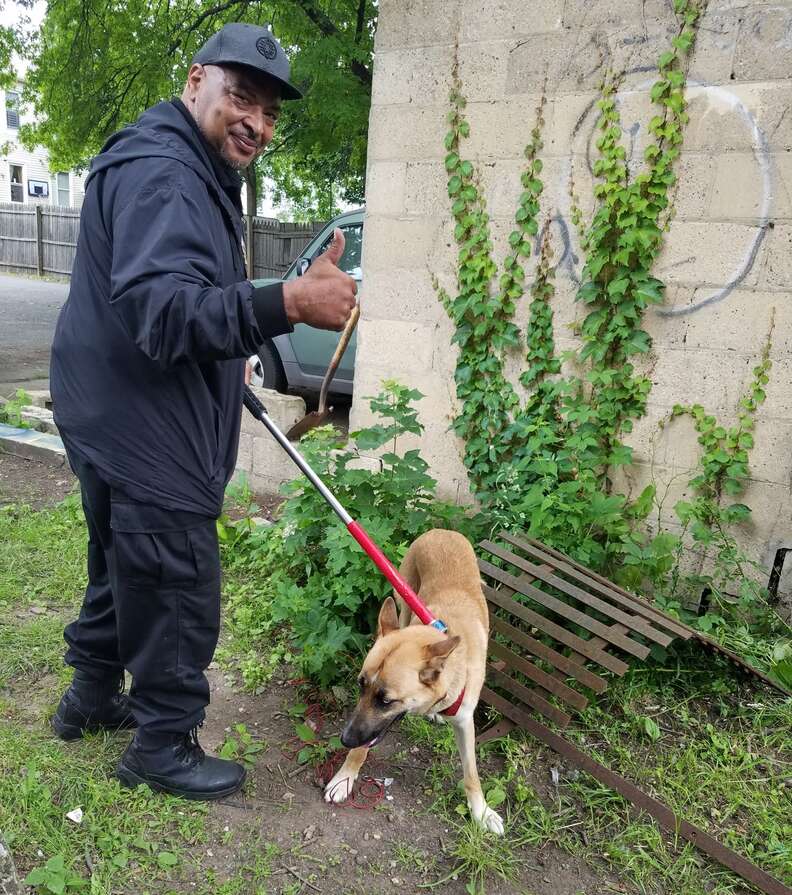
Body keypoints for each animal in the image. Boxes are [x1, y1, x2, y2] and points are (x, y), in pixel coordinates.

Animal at [324, 528, 504, 836]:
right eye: (360, 685)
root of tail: (442, 530)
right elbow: (363, 745)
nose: (344, 739)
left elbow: (471, 773)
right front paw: (345, 777)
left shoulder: (465, 722)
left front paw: (481, 812)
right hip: (403, 600)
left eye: (386, 700)